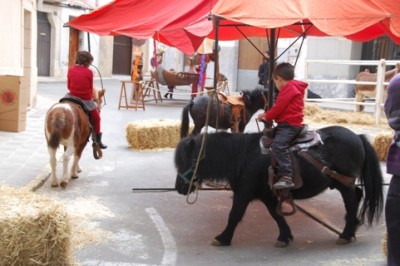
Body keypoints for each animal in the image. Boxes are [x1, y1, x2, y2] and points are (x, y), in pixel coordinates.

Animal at [175, 127, 384, 247]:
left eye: (186, 161)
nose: (179, 188)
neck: (243, 156)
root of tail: (357, 136)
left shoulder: (244, 193)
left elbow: (234, 215)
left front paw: (223, 238)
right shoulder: (266, 195)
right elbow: (276, 215)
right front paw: (284, 237)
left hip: (343, 183)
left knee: (352, 202)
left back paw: (346, 234)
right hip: (340, 183)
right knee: (357, 195)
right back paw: (351, 229)